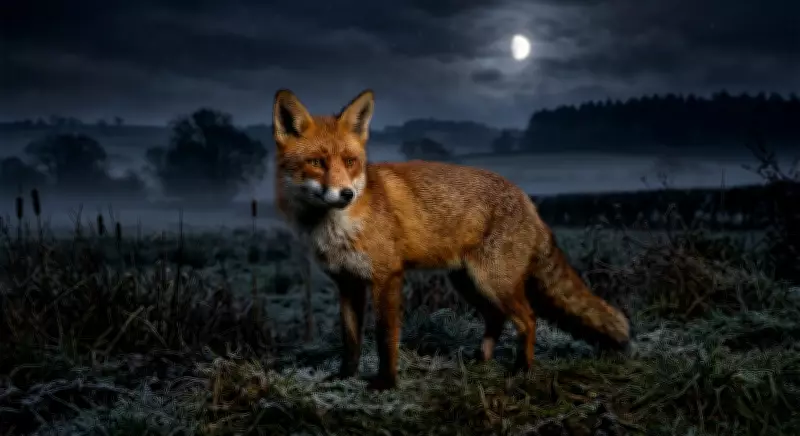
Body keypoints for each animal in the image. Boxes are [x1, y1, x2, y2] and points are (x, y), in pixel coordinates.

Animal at [272, 89, 631, 391]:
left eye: (350, 162)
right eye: (316, 162)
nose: (346, 194)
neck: (336, 229)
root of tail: (528, 199)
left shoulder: (387, 277)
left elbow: (386, 337)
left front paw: (386, 383)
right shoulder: (348, 284)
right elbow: (350, 339)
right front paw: (346, 377)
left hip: (493, 282)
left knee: (528, 319)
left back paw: (522, 370)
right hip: (468, 282)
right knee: (497, 318)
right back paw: (482, 360)